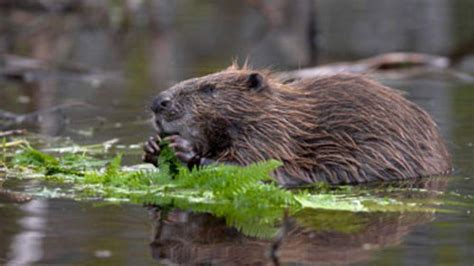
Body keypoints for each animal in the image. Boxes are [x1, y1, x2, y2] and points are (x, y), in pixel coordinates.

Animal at [143, 64, 452, 186]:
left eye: (209, 89)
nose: (158, 102)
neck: (285, 115)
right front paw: (152, 147)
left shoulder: (271, 135)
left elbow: (257, 168)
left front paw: (183, 150)